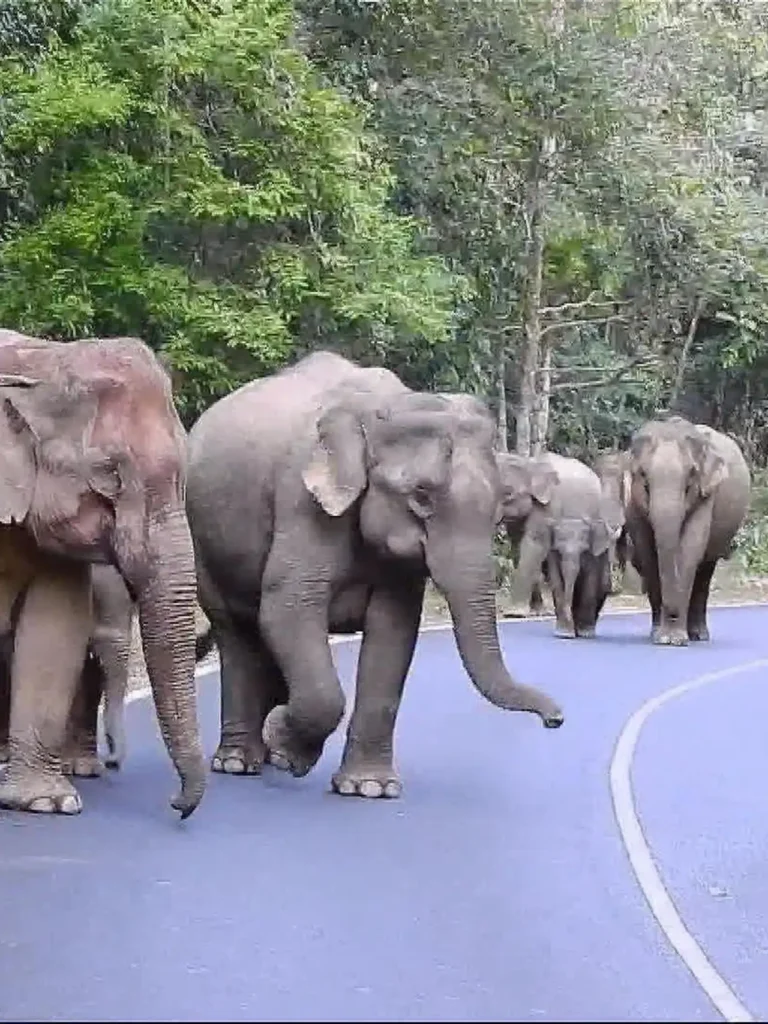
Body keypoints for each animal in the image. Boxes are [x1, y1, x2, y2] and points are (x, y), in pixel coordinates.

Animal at [186, 350, 564, 800]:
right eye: (421, 495)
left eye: (498, 507)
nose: (556, 720)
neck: (382, 408)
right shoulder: (301, 501)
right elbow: (288, 608)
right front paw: (286, 748)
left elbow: (393, 629)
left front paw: (369, 788)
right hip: (202, 542)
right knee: (236, 629)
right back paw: (238, 762)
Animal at [498, 451, 613, 639]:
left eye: (507, 493)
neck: (529, 463)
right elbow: (519, 547)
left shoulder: (549, 507)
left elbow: (533, 546)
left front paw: (513, 614)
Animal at [625, 416, 751, 646]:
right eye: (643, 475)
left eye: (692, 474)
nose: (672, 612)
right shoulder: (633, 503)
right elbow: (648, 554)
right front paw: (661, 637)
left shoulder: (707, 495)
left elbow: (690, 550)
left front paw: (674, 639)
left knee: (705, 573)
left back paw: (698, 635)